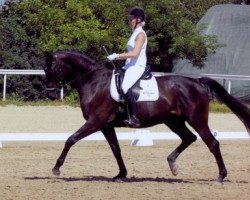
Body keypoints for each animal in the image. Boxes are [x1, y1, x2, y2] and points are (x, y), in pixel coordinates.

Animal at [44, 50, 250, 183]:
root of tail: (197, 82)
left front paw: (56, 168)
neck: (94, 81)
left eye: (51, 69)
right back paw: (172, 164)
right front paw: (121, 174)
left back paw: (221, 176)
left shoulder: (96, 121)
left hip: (197, 120)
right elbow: (116, 149)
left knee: (212, 143)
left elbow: (71, 139)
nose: (50, 93)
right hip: (173, 120)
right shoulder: (106, 126)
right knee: (189, 138)